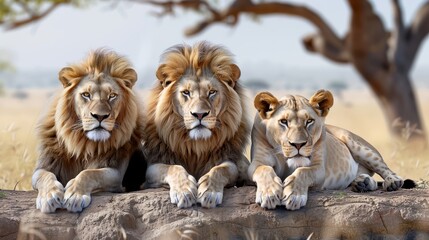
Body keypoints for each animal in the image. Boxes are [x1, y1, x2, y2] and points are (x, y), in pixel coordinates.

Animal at [31, 48, 145, 212]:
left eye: (112, 96)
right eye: (86, 95)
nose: (100, 116)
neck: (84, 144)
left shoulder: (116, 172)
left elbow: (90, 173)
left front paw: (75, 196)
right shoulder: (44, 166)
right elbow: (44, 176)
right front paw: (50, 196)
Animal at [143, 41, 251, 208]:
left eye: (212, 92)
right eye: (186, 92)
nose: (199, 114)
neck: (196, 146)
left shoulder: (231, 161)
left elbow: (222, 169)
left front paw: (210, 192)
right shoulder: (153, 165)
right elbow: (173, 168)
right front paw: (184, 192)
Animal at [249, 90, 402, 210]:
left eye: (309, 121)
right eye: (283, 122)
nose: (298, 144)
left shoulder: (319, 168)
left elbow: (303, 171)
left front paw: (294, 196)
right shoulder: (257, 162)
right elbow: (264, 169)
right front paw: (269, 195)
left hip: (356, 144)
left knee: (383, 167)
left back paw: (392, 182)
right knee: (371, 180)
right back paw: (362, 183)